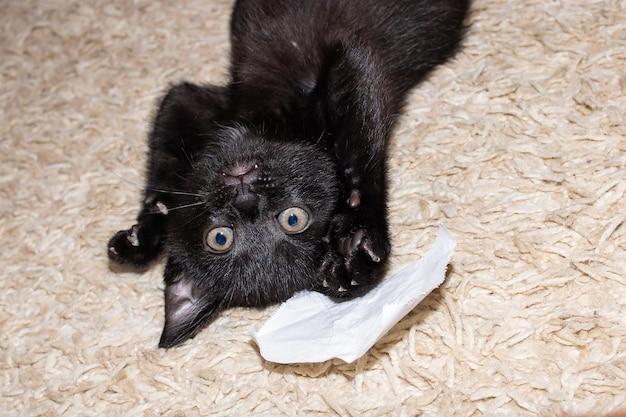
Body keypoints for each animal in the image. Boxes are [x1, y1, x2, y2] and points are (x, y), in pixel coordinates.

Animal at [108, 0, 468, 348]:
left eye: (293, 219)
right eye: (220, 238)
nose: (244, 194)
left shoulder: (354, 57)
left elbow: (361, 141)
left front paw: (360, 237)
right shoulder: (188, 101)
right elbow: (164, 164)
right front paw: (145, 235)